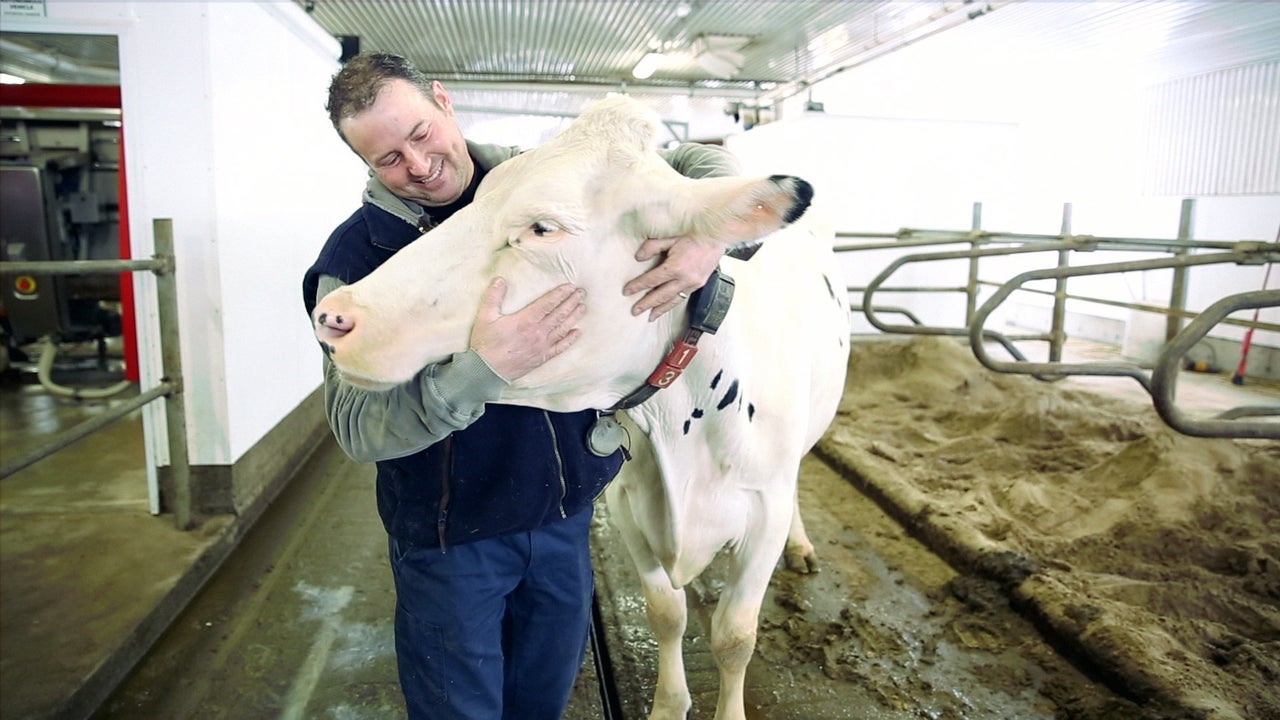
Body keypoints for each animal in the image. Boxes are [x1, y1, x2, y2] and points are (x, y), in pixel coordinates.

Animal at [308, 96, 849, 717]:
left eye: (542, 227)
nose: (335, 316)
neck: (682, 430)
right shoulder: (628, 500)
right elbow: (667, 612)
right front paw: (668, 703)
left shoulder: (762, 511)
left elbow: (735, 638)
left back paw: (801, 545)